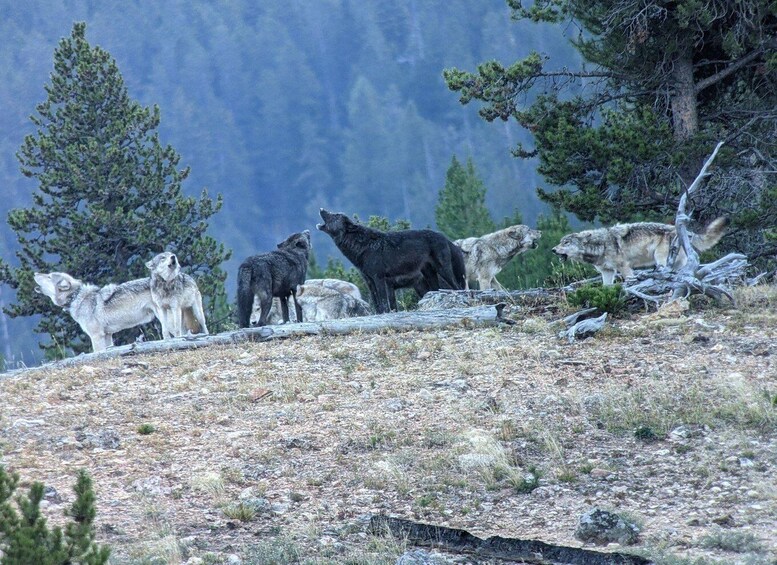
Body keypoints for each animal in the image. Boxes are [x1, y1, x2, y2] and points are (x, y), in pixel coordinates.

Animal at [317, 209, 464, 313]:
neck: (363, 248)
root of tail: (445, 237)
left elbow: (384, 304)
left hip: (442, 271)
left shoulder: (379, 279)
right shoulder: (370, 282)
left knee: (457, 287)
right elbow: (378, 305)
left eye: (335, 215)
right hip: (428, 278)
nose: (321, 209)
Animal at [552, 217, 729, 285]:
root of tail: (685, 231)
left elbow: (629, 280)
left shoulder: (624, 267)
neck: (600, 245)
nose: (553, 250)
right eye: (560, 242)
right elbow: (606, 287)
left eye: (566, 242)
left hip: (660, 258)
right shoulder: (607, 272)